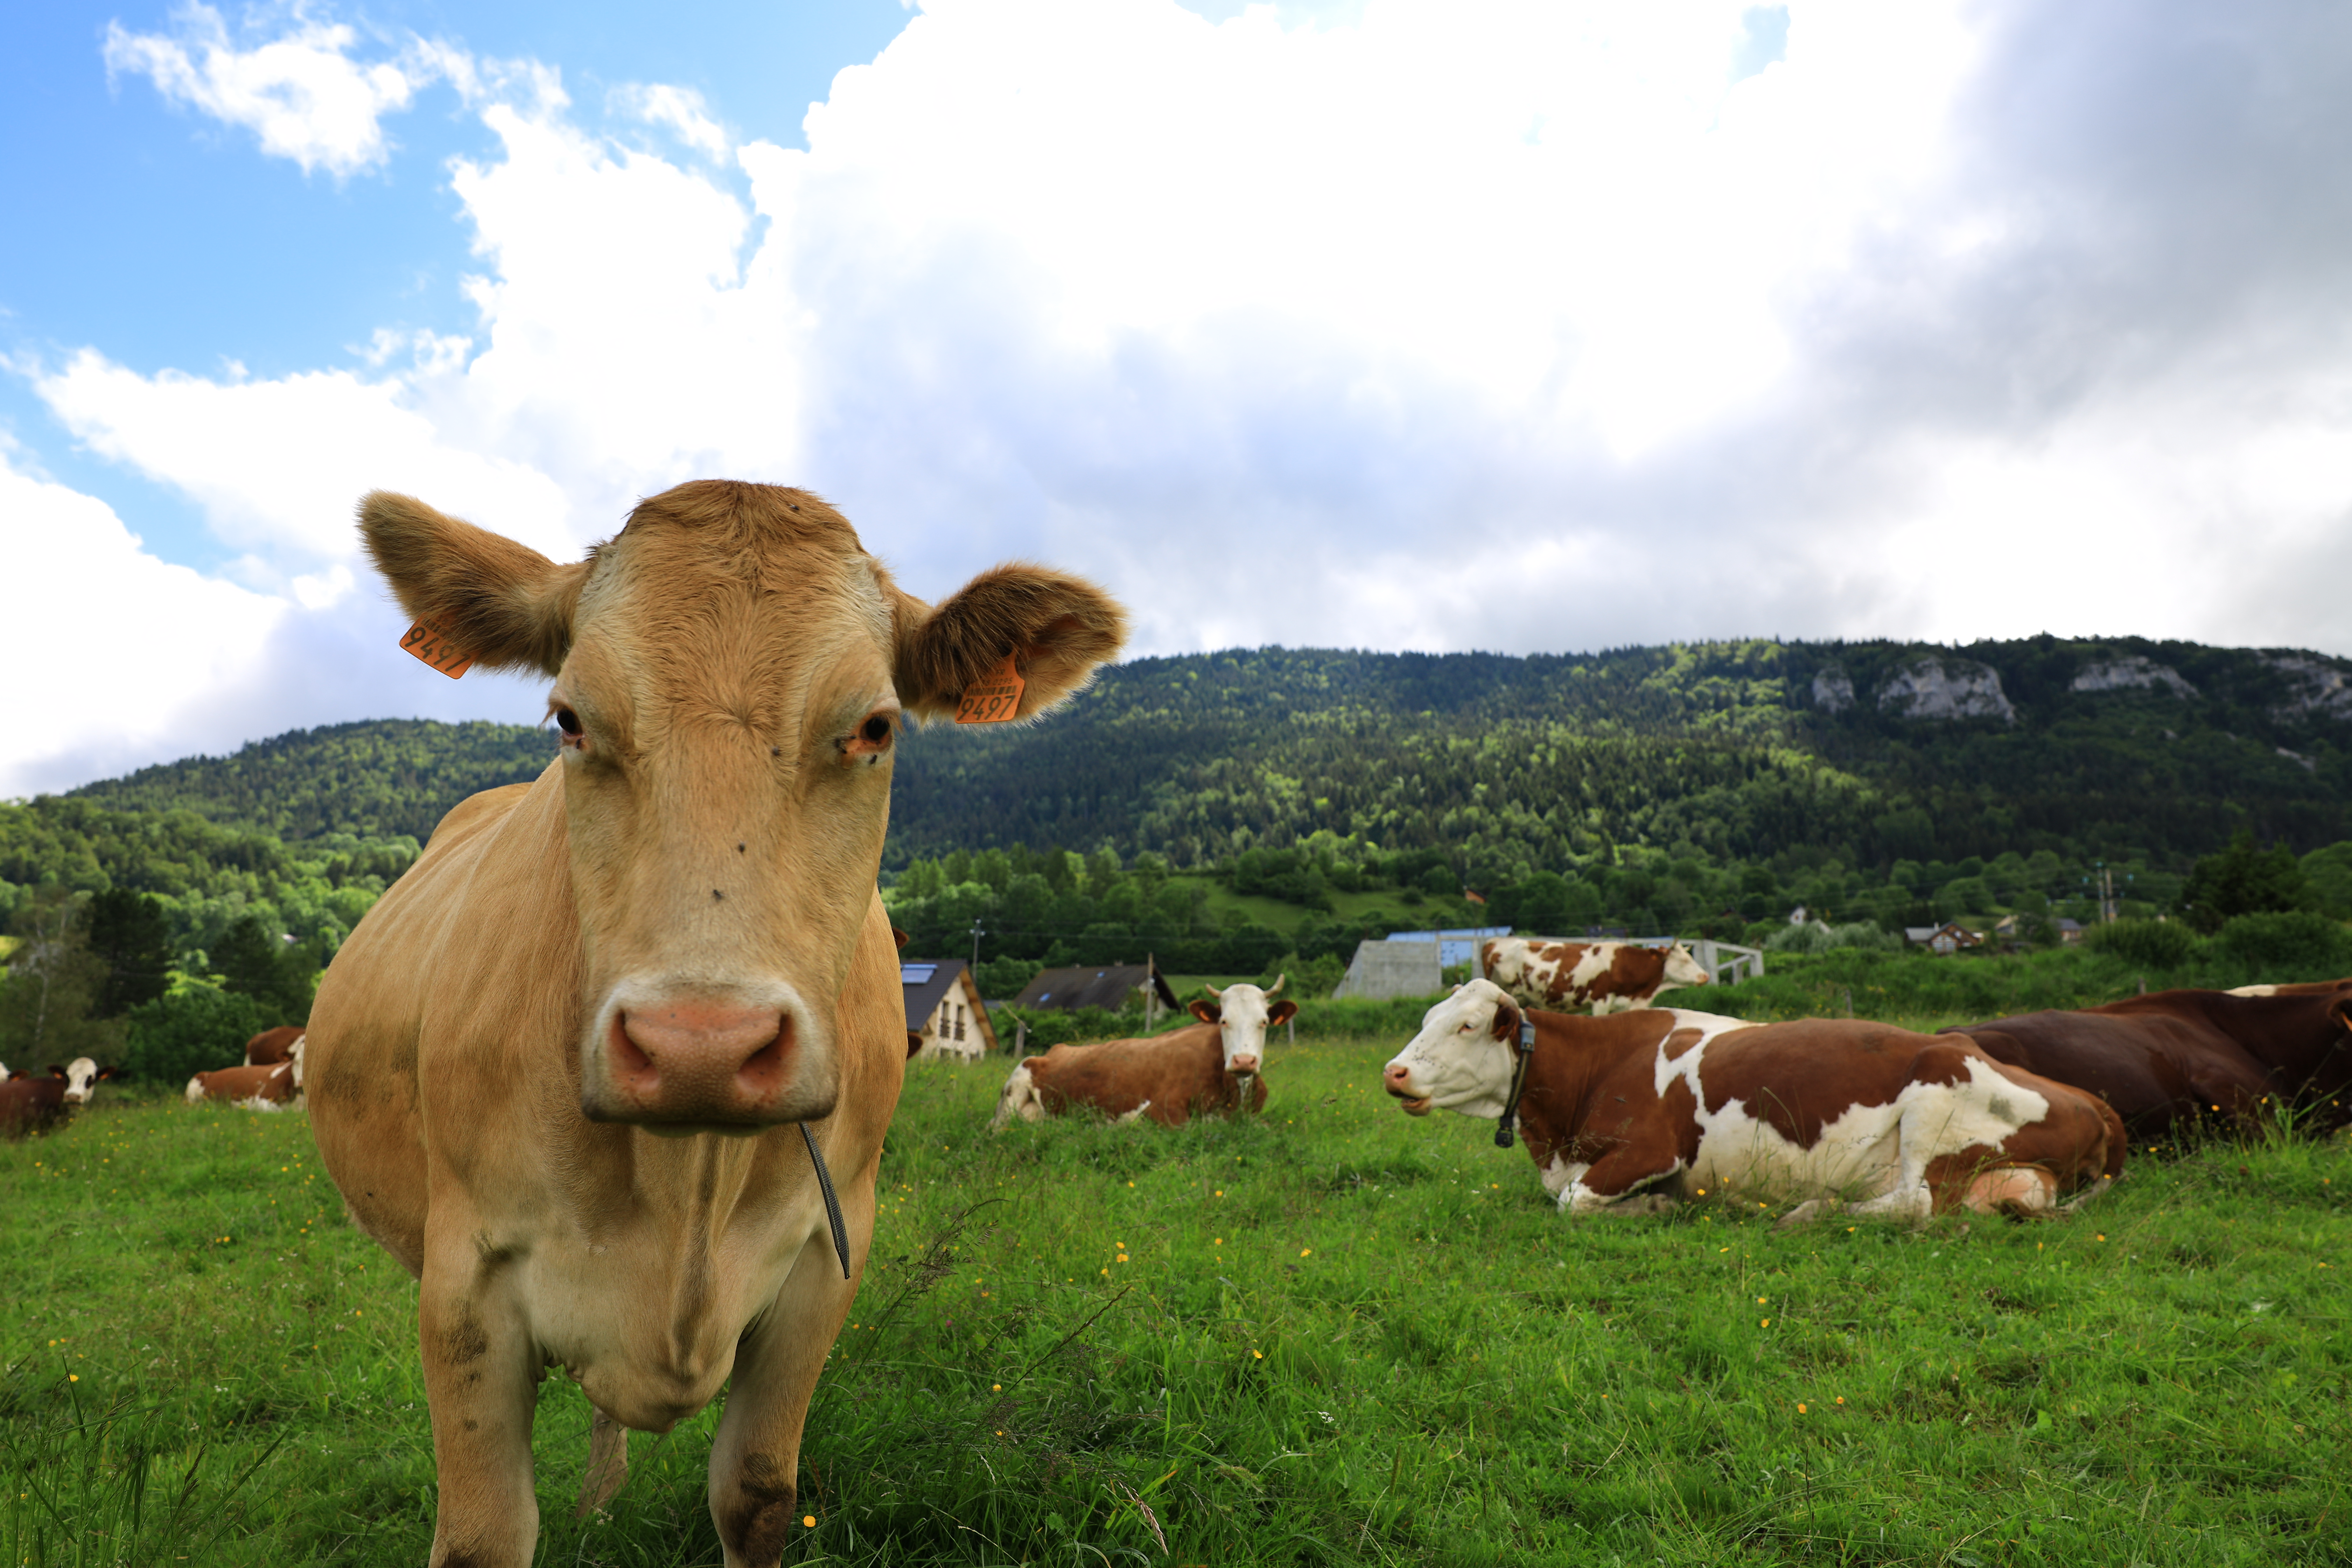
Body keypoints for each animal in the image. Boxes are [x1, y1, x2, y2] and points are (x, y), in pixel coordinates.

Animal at [303, 480, 1123, 1568]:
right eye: (570, 719)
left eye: (875, 727)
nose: (701, 1048)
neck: (686, 1180)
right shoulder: (463, 1283)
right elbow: (484, 1539)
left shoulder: (826, 1259)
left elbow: (755, 1495)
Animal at [992, 978, 1292, 1129]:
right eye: (1223, 1021)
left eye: (1264, 1021)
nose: (1244, 1061)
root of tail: (1055, 1049)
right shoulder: (1161, 1109)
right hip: (1011, 1095)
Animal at [1382, 980, 2124, 1223]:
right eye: (1427, 1018)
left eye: (1467, 1026)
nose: (1393, 1072)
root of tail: (2095, 1101)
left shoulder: (1652, 1148)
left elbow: (1573, 1202)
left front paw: (1654, 1208)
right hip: (2014, 1174)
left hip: (1936, 1098)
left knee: (1915, 1203)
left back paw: (1813, 1209)